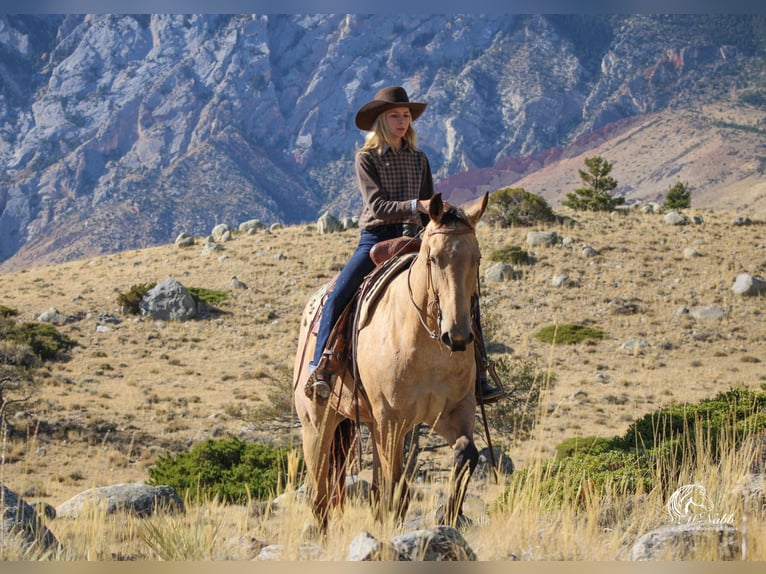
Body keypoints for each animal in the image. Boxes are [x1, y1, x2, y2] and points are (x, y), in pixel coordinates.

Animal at [292, 192, 488, 532]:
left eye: (476, 258)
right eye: (432, 258)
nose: (458, 336)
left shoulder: (454, 411)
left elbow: (467, 453)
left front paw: (448, 515)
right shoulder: (392, 420)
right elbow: (396, 489)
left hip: (372, 425)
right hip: (317, 424)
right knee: (320, 494)